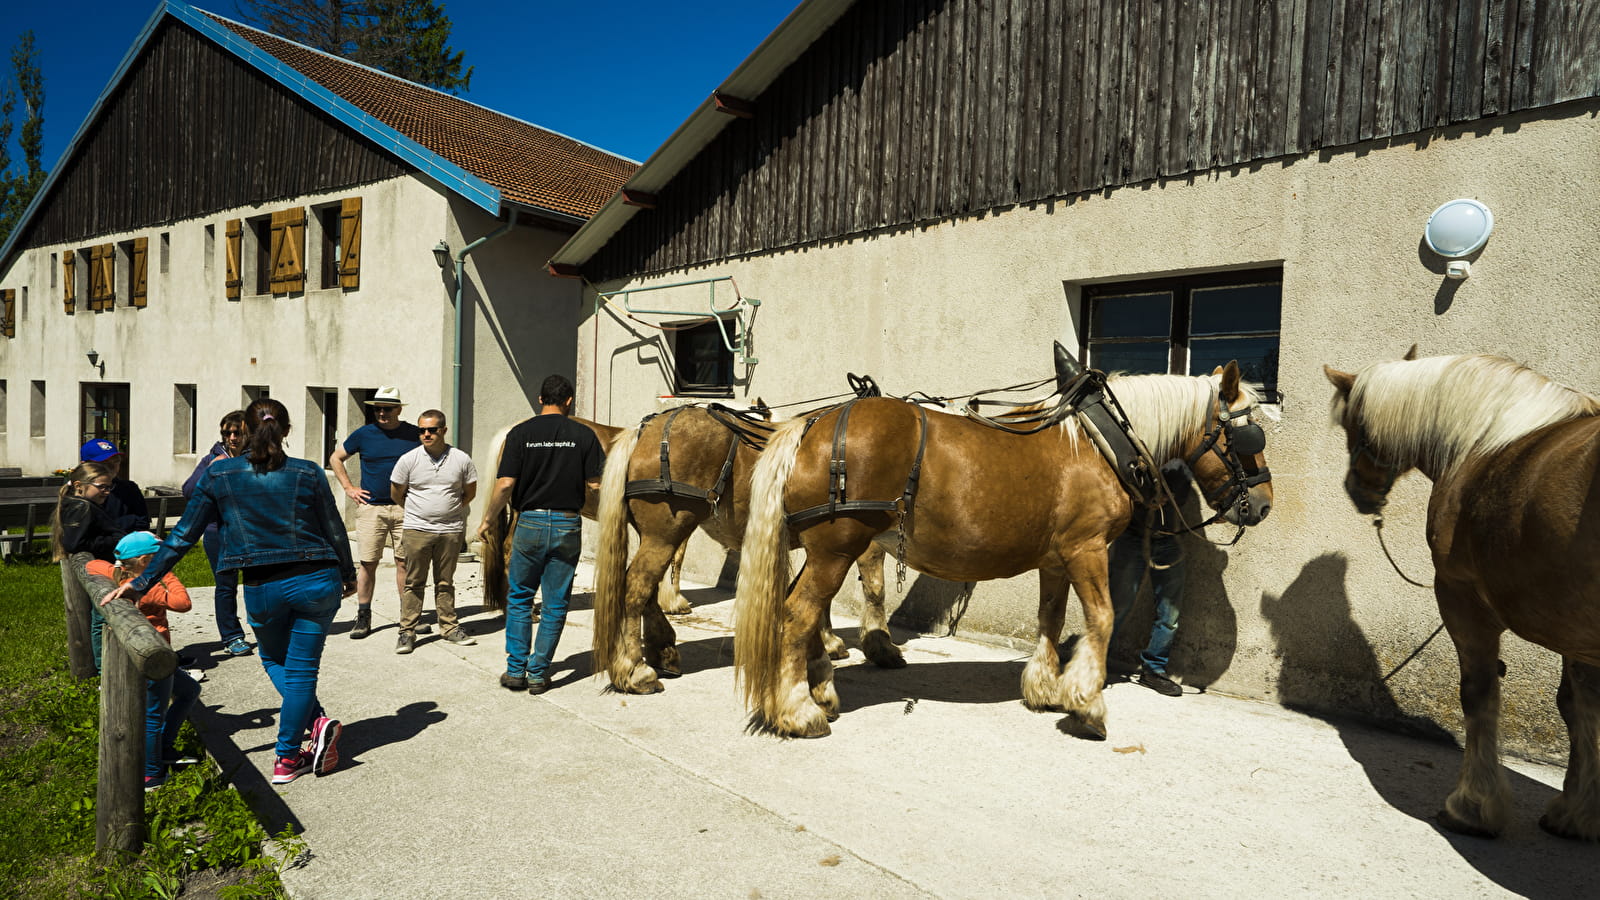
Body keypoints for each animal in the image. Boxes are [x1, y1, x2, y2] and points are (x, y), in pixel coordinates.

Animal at [592, 403, 896, 688]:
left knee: (647, 589)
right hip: (664, 534)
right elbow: (872, 587)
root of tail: (644, 430)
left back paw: (662, 651)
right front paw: (877, 647)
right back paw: (635, 670)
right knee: (635, 588)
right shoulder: (857, 538)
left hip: (659, 536)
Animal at [736, 357, 1273, 736]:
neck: (1101, 442)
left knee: (804, 612)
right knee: (798, 615)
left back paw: (820, 692)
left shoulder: (1056, 559)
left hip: (827, 550)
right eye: (1251, 435)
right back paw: (799, 710)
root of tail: (810, 427)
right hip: (836, 548)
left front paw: (1045, 687)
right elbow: (1101, 618)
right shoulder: (1086, 548)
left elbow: (1051, 617)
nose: (1264, 504)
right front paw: (1087, 703)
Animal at [1324, 347, 1600, 839]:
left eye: (1353, 426)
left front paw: (1472, 807)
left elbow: (1479, 694)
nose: (1357, 490)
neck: (1483, 443)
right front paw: (1577, 812)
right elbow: (1580, 706)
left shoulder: (1460, 597)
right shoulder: (1575, 630)